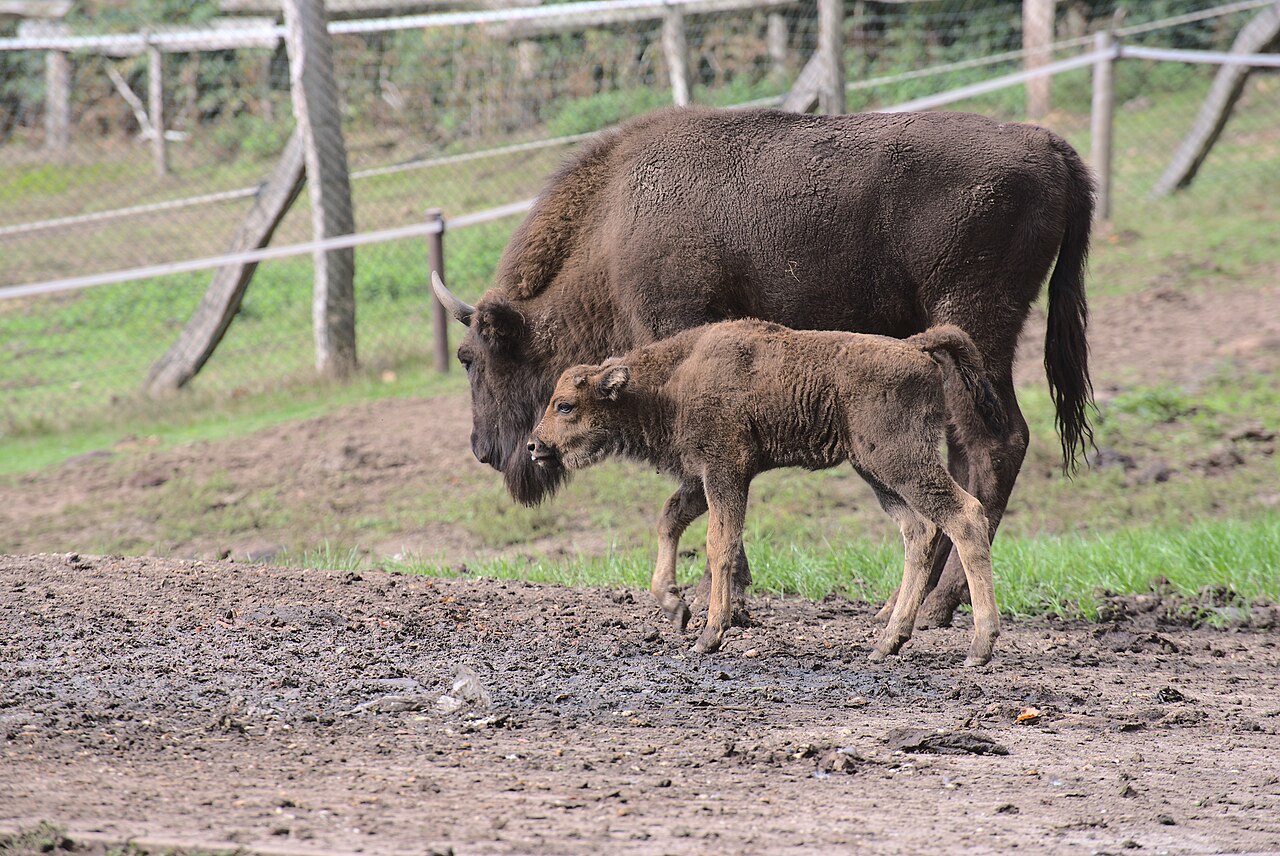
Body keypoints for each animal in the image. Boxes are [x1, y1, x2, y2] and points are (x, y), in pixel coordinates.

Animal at [432, 106, 1093, 626]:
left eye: (470, 358)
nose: (485, 450)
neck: (615, 222)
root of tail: (1048, 146)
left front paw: (722, 597)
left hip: (976, 324)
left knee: (995, 446)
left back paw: (934, 609)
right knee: (962, 458)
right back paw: (905, 605)